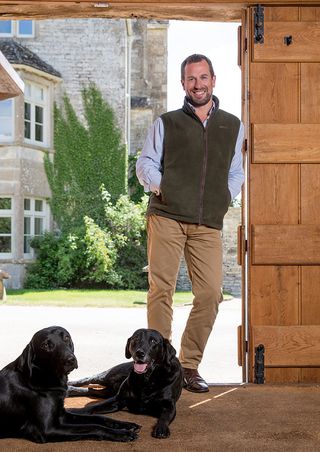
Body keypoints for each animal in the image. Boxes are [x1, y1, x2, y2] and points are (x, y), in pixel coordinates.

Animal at [0, 326, 139, 444]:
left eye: (66, 338)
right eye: (45, 345)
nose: (70, 360)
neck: (42, 377)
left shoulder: (62, 415)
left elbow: (98, 418)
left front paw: (126, 425)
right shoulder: (47, 430)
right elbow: (94, 426)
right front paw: (121, 434)